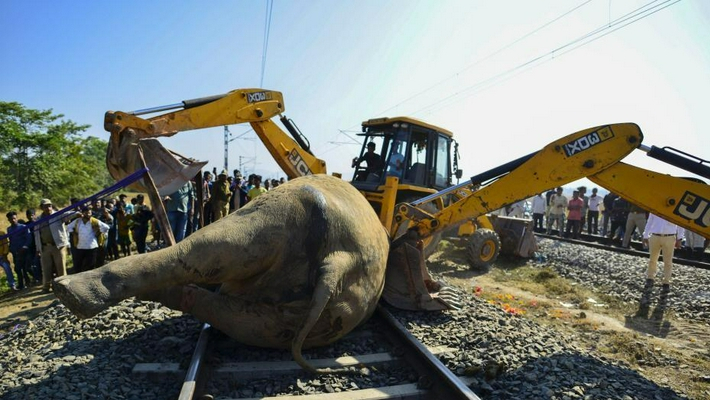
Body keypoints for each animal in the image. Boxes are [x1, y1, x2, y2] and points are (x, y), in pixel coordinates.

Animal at [53, 174, 389, 373]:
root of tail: (338, 258)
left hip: (274, 212)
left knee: (198, 254)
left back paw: (70, 291)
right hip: (295, 307)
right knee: (222, 303)